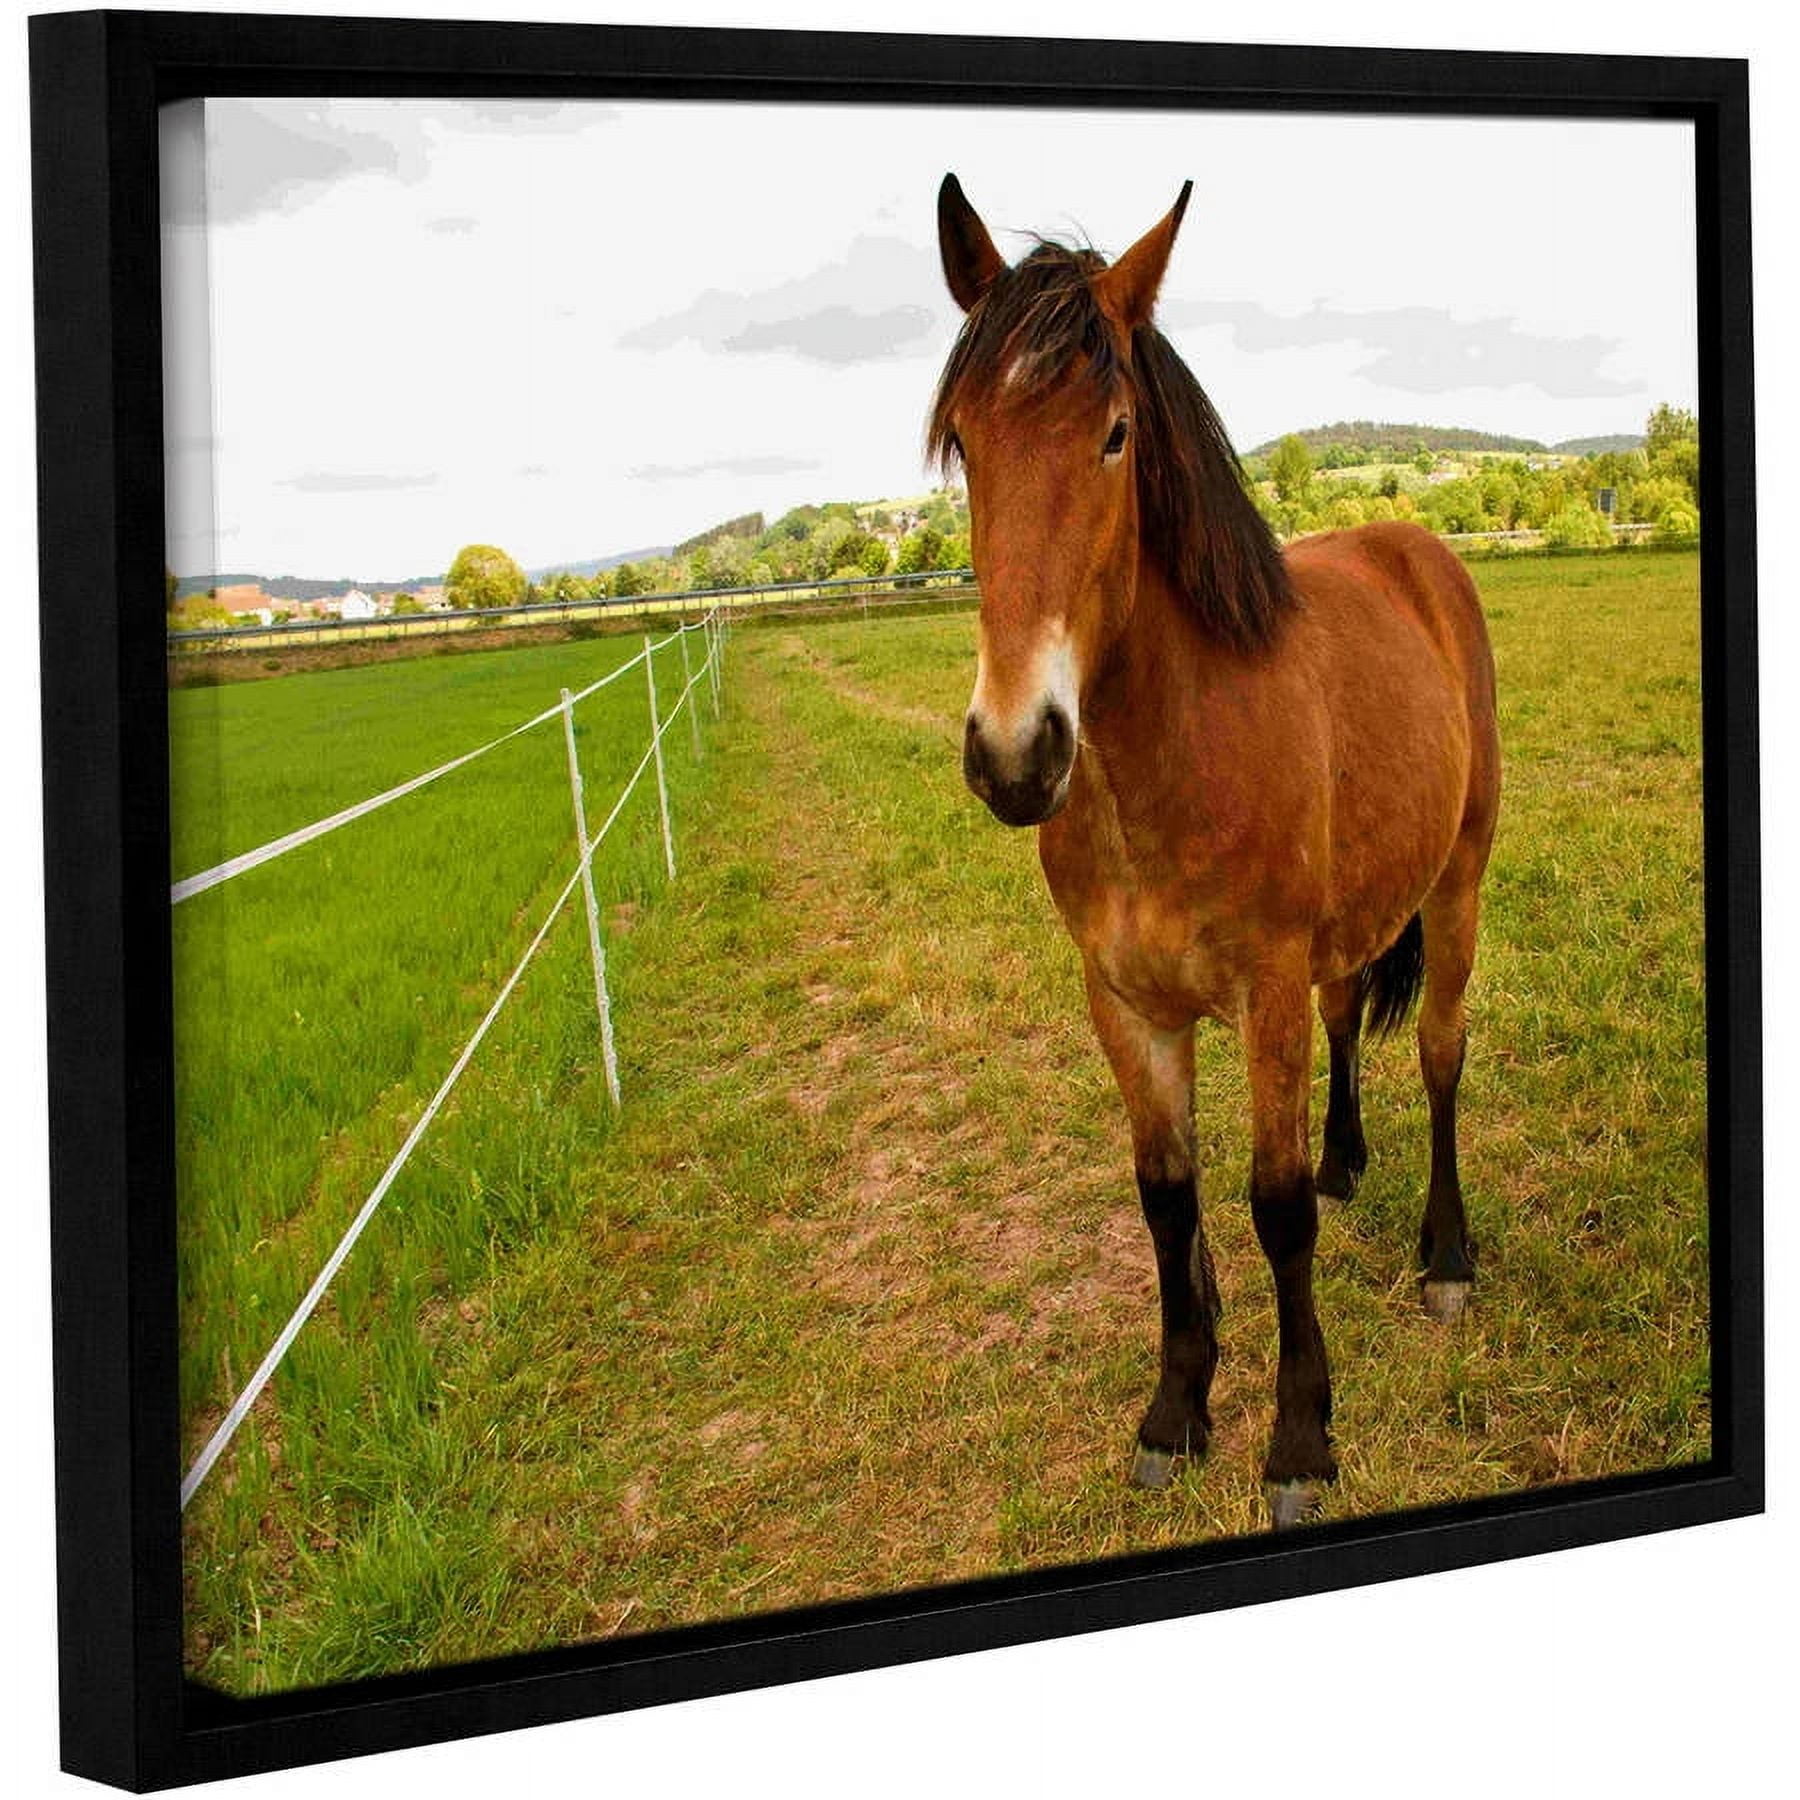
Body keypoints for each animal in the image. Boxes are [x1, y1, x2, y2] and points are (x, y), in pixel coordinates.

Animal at [931, 174, 1500, 1528]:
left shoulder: (1264, 990)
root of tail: (1420, 552)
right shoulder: (1128, 1004)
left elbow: (1272, 1207)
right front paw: (1176, 1409)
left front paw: (1297, 1440)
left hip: (1459, 879)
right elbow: (1167, 1198)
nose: (1016, 754)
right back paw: (1350, 1158)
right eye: (965, 443)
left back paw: (1446, 1256)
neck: (1167, 761)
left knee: (1441, 1054)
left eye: (1115, 436)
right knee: (1354, 1019)